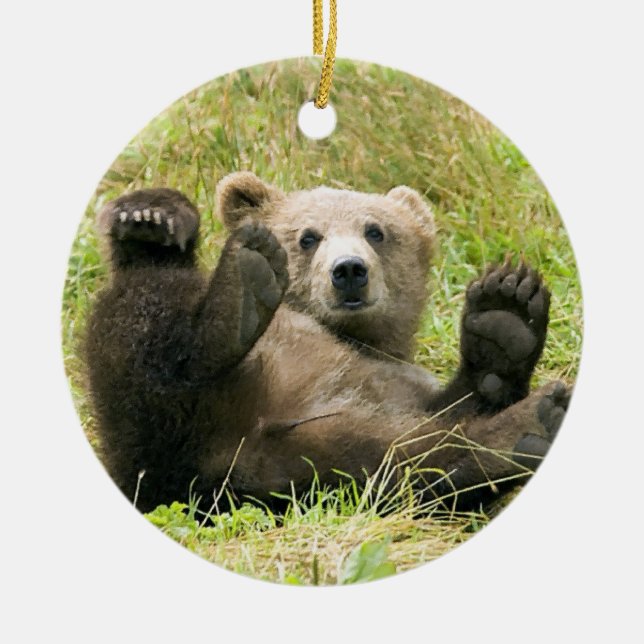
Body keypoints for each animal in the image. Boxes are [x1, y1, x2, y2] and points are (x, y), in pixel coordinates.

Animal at [85, 172, 569, 514]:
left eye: (376, 231)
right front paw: (149, 216)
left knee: (406, 461)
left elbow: (457, 404)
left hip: (309, 458)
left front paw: (505, 316)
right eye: (308, 236)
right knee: (144, 318)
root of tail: (224, 453)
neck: (353, 337)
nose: (349, 270)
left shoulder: (396, 384)